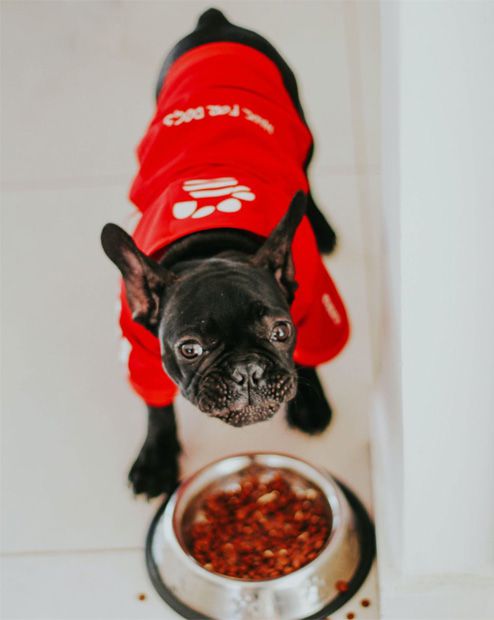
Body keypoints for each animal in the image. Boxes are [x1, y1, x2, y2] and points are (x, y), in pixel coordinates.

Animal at [101, 9, 348, 498]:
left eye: (282, 331)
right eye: (189, 348)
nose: (248, 370)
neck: (211, 245)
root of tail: (215, 23)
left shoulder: (316, 309)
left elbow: (312, 354)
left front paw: (311, 406)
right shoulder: (140, 354)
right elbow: (157, 407)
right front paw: (156, 459)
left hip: (302, 125)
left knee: (307, 178)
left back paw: (321, 224)